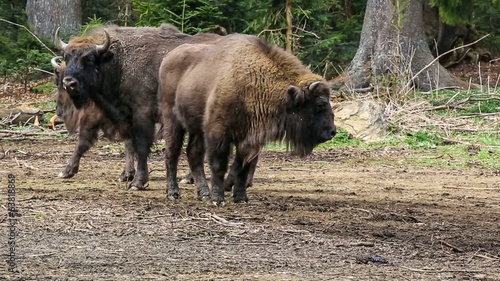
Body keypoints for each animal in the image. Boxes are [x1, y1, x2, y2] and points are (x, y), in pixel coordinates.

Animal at [53, 24, 223, 189]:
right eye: (66, 57)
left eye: (88, 59)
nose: (69, 83)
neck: (118, 62)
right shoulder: (124, 116)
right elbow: (128, 145)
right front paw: (127, 175)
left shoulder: (142, 114)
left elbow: (140, 146)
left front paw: (138, 182)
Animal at [159, 35, 336, 206]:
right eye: (321, 104)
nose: (332, 132)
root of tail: (167, 58)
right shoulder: (218, 133)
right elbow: (219, 164)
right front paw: (218, 199)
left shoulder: (249, 140)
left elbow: (242, 167)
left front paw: (241, 198)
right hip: (173, 121)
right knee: (172, 153)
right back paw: (173, 193)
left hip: (197, 129)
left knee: (193, 153)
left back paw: (203, 193)